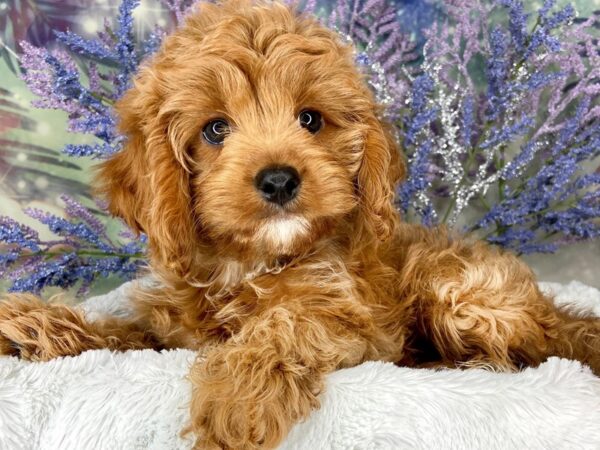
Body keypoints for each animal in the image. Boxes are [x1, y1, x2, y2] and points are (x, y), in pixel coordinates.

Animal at [1, 1, 600, 448]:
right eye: (215, 129)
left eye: (310, 119)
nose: (279, 180)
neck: (249, 264)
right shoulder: (173, 333)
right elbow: (121, 333)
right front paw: (33, 323)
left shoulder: (351, 320)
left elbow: (287, 324)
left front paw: (237, 395)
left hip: (463, 294)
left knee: (521, 351)